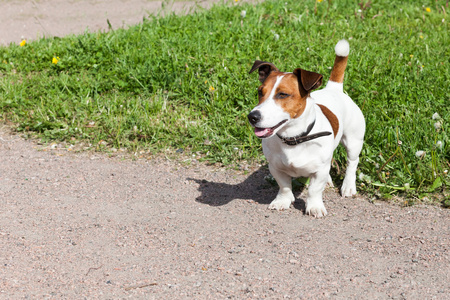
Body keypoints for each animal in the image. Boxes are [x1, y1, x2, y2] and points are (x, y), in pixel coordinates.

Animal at [246, 40, 366, 218]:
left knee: (352, 162)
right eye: (260, 92)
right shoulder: (275, 167)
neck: (293, 139)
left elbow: (314, 190)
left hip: (353, 141)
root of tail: (333, 88)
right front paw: (283, 201)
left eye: (282, 94)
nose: (252, 116)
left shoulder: (319, 171)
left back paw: (348, 186)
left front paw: (314, 206)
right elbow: (284, 186)